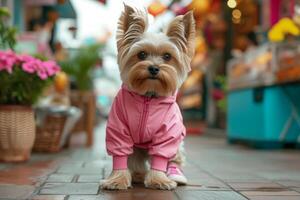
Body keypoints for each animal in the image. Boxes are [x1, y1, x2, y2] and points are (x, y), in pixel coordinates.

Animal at [100, 3, 195, 190]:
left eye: (167, 56)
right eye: (141, 54)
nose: (153, 68)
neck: (148, 97)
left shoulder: (168, 134)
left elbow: (161, 155)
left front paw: (159, 180)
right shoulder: (118, 128)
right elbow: (120, 153)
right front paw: (118, 179)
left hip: (178, 143)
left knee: (175, 158)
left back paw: (175, 175)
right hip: (136, 148)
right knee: (135, 159)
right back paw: (137, 174)